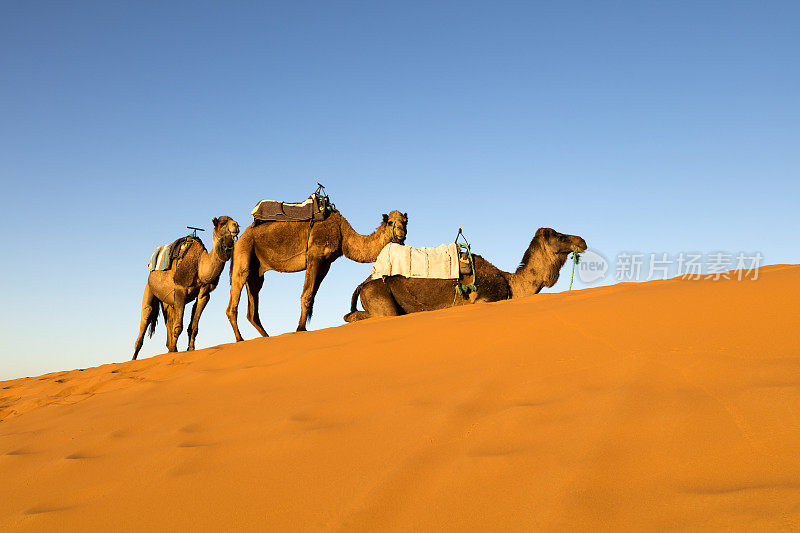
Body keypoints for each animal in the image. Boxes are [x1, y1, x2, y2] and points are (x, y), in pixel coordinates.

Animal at [228, 208, 410, 336]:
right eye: (390, 222)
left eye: (405, 221)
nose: (401, 233)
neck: (343, 234)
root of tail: (239, 239)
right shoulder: (315, 256)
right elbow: (307, 295)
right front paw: (300, 329)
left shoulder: (325, 264)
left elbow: (312, 296)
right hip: (244, 253)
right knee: (234, 298)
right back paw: (240, 339)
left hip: (256, 272)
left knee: (253, 309)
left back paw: (266, 337)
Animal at [344, 228, 588, 322]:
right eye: (560, 236)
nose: (582, 240)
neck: (510, 283)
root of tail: (363, 285)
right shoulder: (484, 299)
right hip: (380, 299)